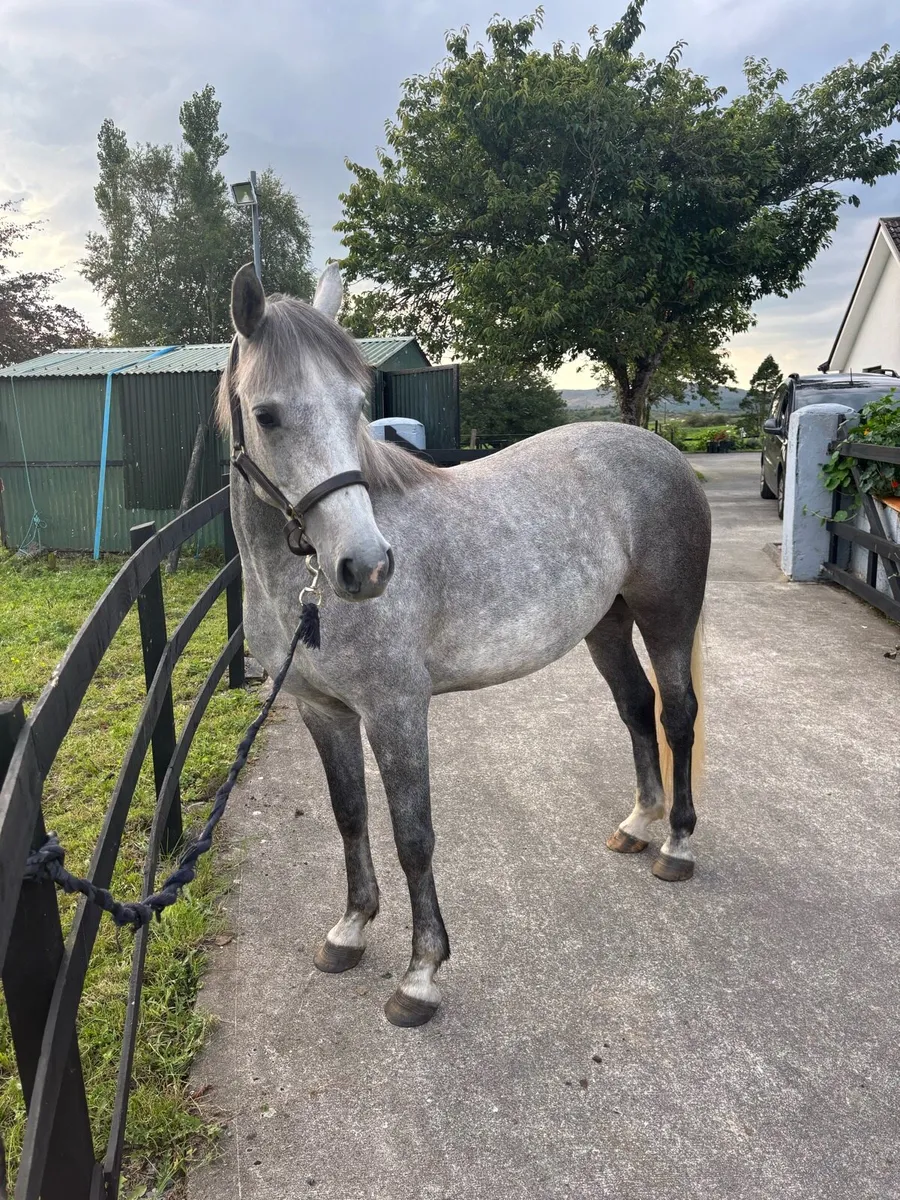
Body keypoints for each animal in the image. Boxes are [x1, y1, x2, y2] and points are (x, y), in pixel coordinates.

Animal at [220, 263, 711, 1028]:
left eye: (358, 404)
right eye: (267, 414)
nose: (367, 567)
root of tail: (661, 451)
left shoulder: (395, 712)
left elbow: (413, 835)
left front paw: (421, 974)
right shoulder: (322, 712)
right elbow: (350, 816)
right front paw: (350, 928)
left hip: (667, 617)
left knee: (676, 715)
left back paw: (678, 845)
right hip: (606, 623)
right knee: (635, 708)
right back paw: (638, 823)